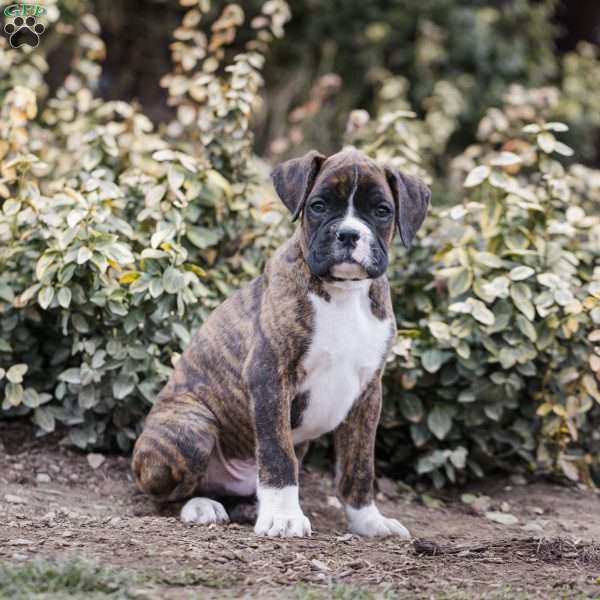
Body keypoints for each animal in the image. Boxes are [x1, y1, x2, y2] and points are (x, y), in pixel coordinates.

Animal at [134, 149, 428, 540]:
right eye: (318, 206)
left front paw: (368, 520)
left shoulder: (368, 394)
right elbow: (277, 453)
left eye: (382, 211)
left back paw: (248, 506)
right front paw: (284, 517)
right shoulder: (269, 375)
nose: (349, 234)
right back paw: (200, 506)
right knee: (165, 496)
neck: (343, 293)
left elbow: (360, 464)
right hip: (191, 429)